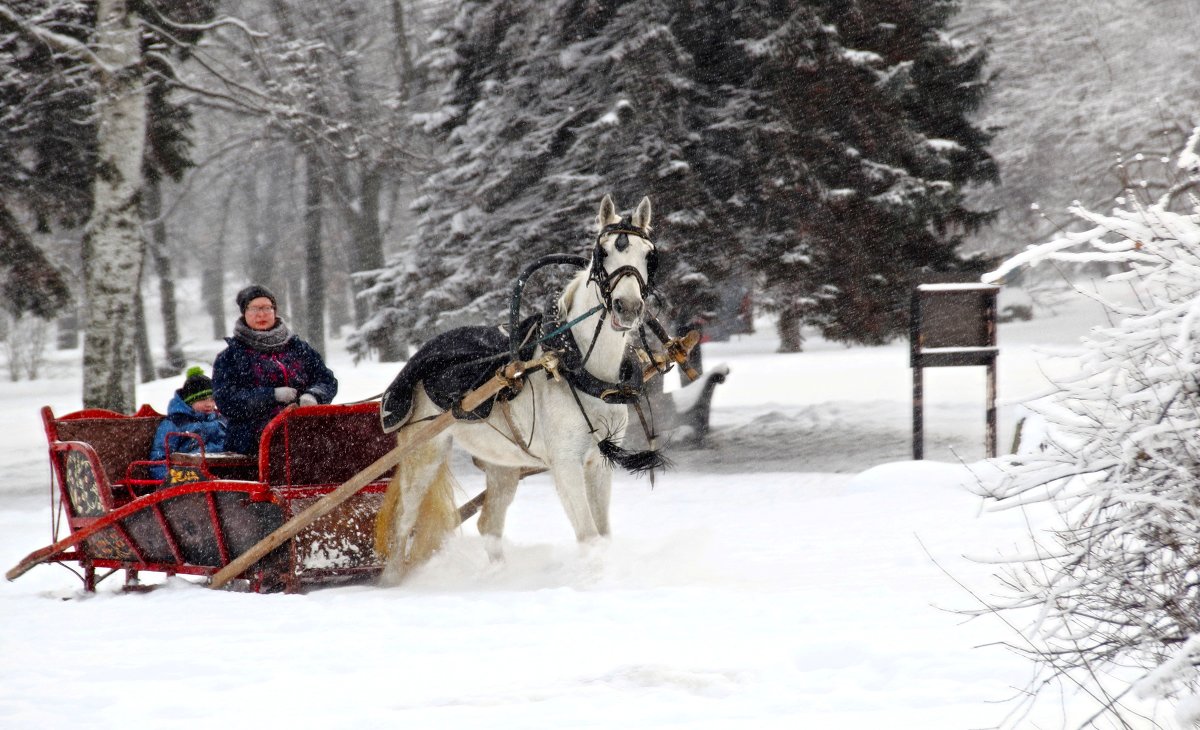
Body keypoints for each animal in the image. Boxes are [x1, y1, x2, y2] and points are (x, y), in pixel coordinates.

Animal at [374, 195, 662, 581]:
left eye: (649, 255)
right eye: (603, 253)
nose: (628, 307)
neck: (573, 365)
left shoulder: (598, 464)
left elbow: (602, 535)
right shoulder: (565, 464)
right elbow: (589, 537)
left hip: (502, 463)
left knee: (488, 524)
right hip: (424, 451)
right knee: (404, 522)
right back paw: (394, 580)